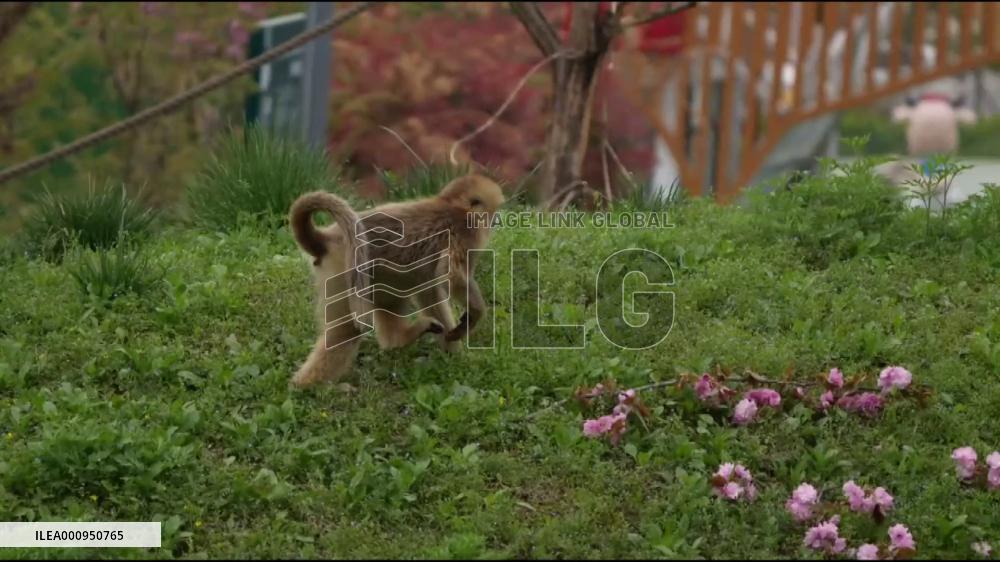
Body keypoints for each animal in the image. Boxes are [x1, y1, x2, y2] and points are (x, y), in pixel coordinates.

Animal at [287, 174, 505, 388]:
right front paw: (474, 317)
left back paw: (398, 340)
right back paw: (305, 387)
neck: (450, 204)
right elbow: (452, 276)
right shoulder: (467, 233)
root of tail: (330, 238)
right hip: (344, 272)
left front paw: (454, 354)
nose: (496, 220)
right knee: (348, 330)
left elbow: (429, 289)